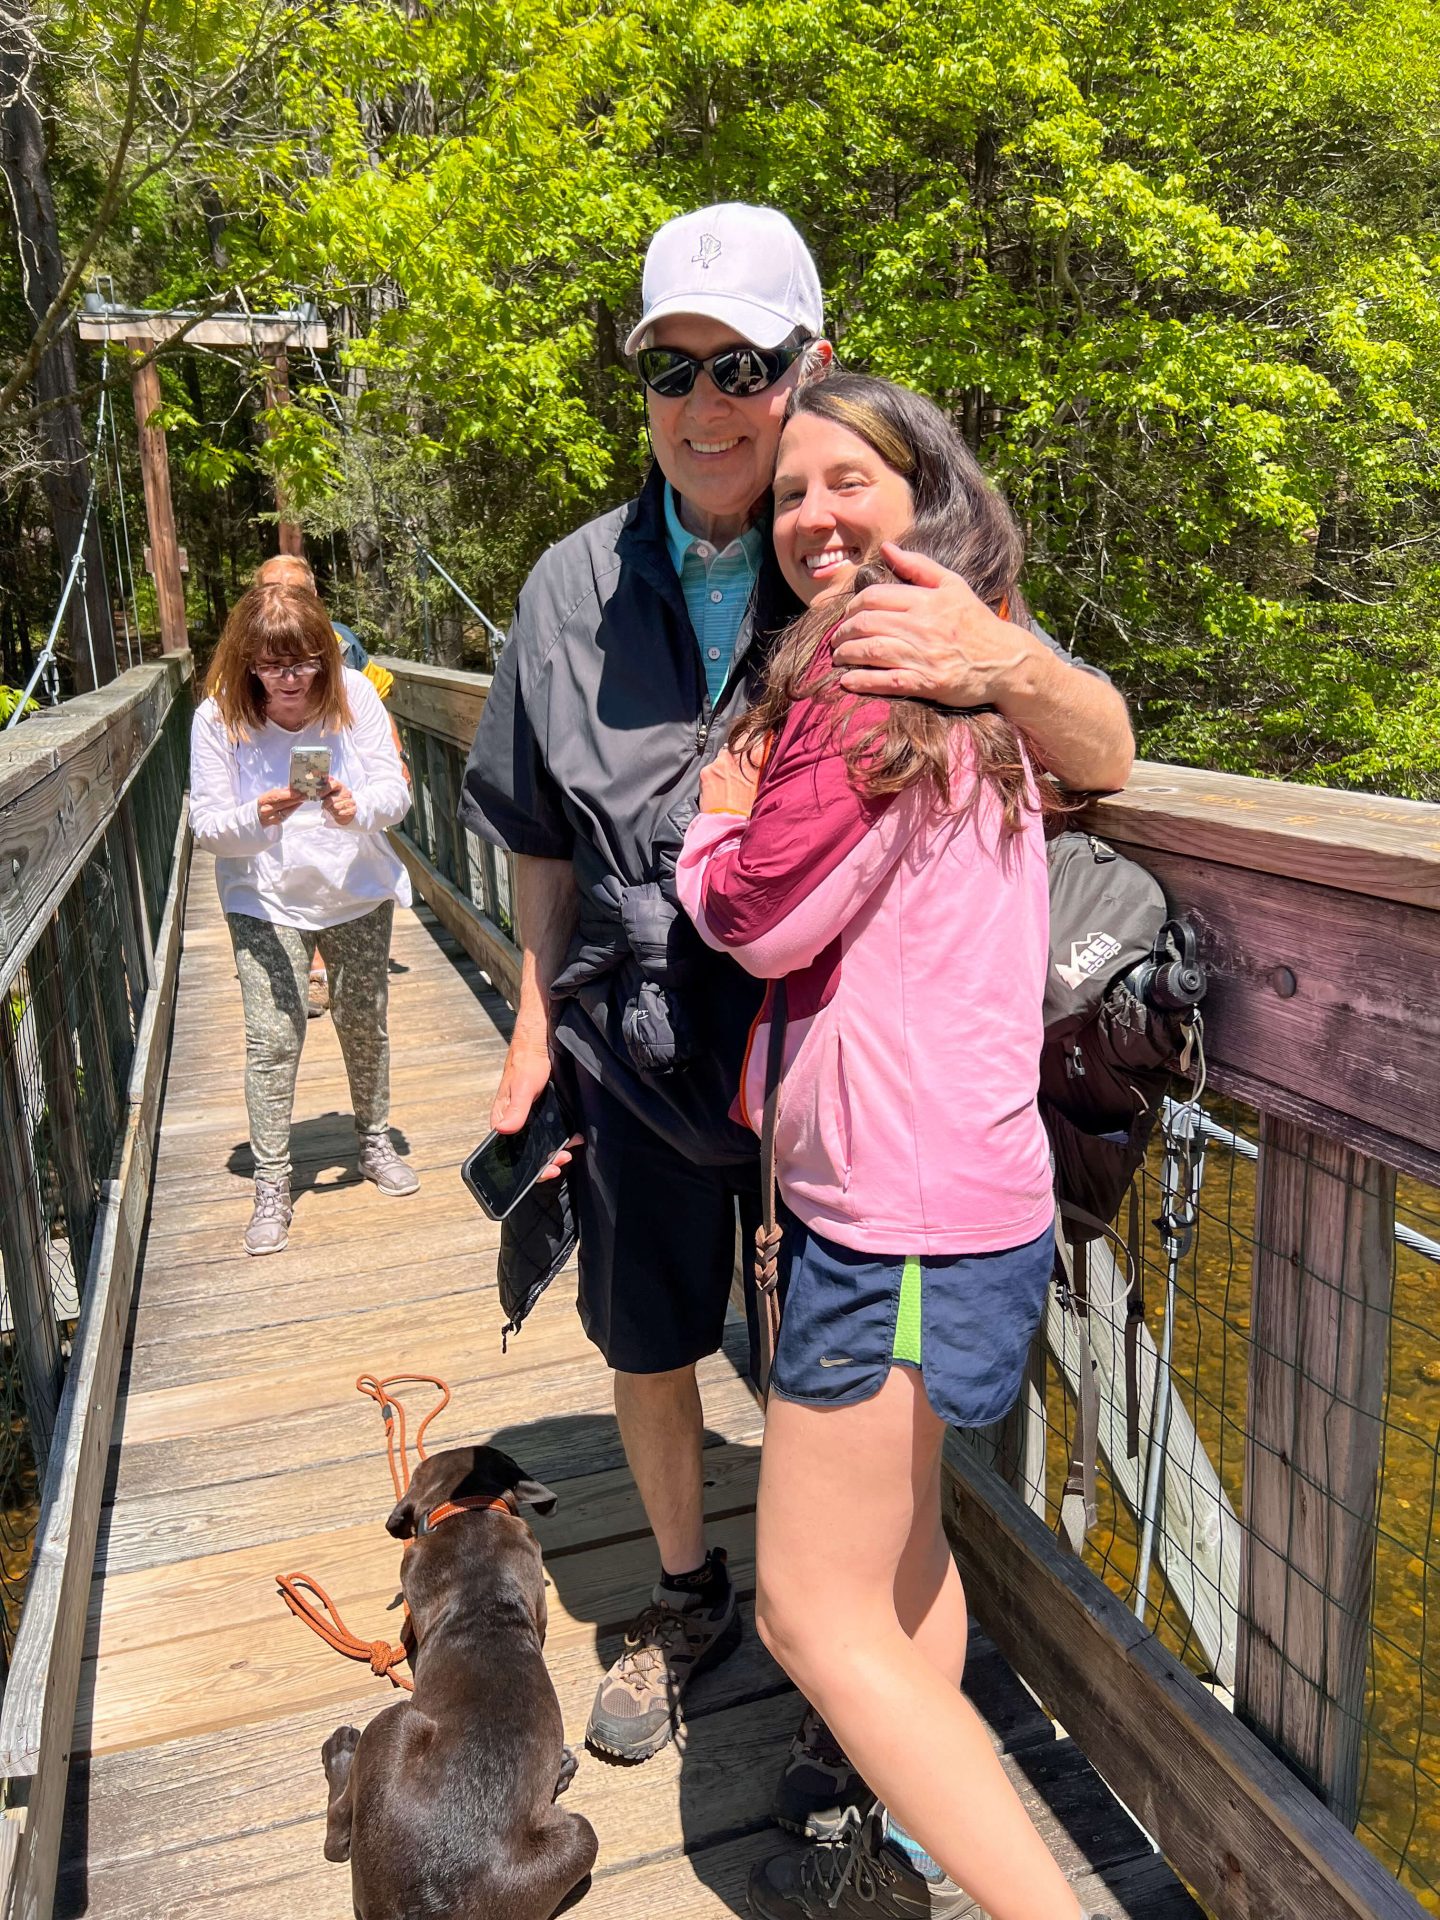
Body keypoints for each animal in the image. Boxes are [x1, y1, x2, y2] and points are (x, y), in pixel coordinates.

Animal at [320, 1443, 599, 1920]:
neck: (470, 1509)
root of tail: (424, 1907)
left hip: (394, 1721)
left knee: (338, 1838)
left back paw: (341, 1752)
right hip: (579, 1836)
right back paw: (559, 1774)